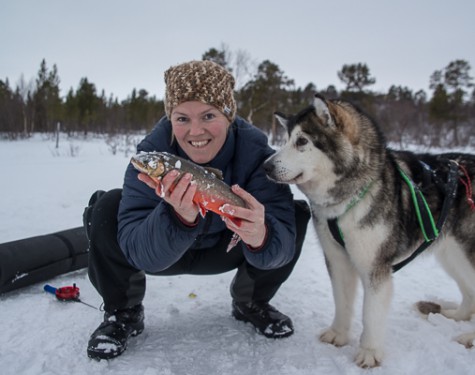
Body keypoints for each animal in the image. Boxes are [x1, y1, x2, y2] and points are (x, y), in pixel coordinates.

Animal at [264, 95, 475, 368]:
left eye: (302, 141)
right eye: (286, 139)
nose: (265, 166)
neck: (351, 197)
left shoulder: (375, 267)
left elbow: (371, 313)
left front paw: (369, 352)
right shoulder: (337, 259)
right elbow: (342, 301)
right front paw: (339, 334)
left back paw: (469, 336)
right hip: (452, 255)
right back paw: (456, 315)